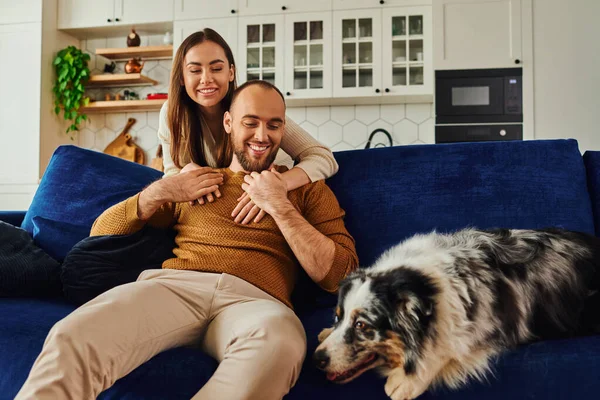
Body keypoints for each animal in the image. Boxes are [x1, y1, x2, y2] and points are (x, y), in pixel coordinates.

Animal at [312, 228, 600, 400]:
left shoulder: (497, 320)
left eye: (362, 325)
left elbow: (449, 346)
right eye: (338, 316)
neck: (425, 285)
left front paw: (407, 380)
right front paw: (325, 331)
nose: (316, 360)